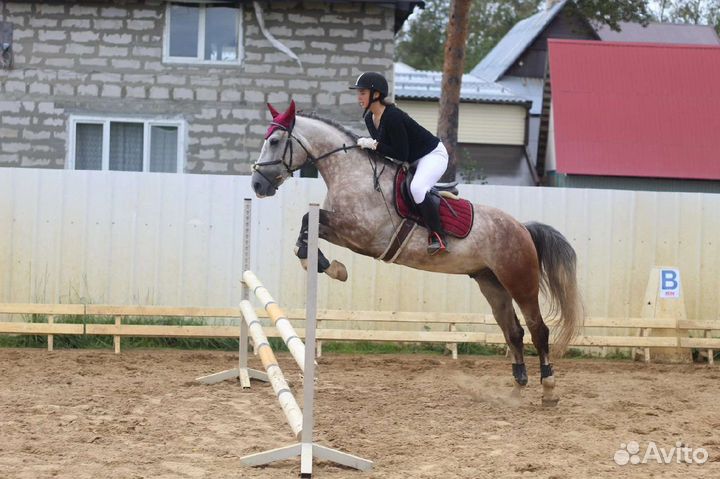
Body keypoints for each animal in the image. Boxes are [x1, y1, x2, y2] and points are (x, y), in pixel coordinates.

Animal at [250, 101, 583, 406]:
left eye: (275, 141)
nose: (257, 185)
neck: (353, 174)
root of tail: (522, 228)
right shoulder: (343, 230)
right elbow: (308, 226)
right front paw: (322, 263)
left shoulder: (359, 233)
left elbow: (311, 221)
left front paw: (330, 266)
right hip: (491, 282)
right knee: (513, 331)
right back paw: (516, 389)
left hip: (519, 281)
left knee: (538, 329)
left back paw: (549, 389)